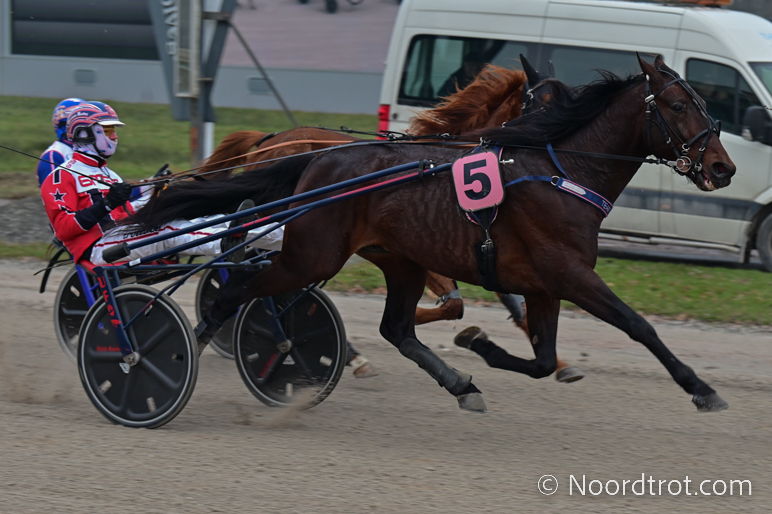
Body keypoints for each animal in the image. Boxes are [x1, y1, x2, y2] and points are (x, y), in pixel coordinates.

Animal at [135, 55, 736, 414]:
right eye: (678, 105)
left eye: (705, 103)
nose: (723, 167)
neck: (560, 168)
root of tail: (306, 156)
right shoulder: (570, 274)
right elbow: (638, 326)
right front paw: (701, 389)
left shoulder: (541, 282)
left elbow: (538, 355)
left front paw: (483, 349)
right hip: (311, 254)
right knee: (239, 289)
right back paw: (174, 349)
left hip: (394, 258)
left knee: (393, 328)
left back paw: (456, 383)